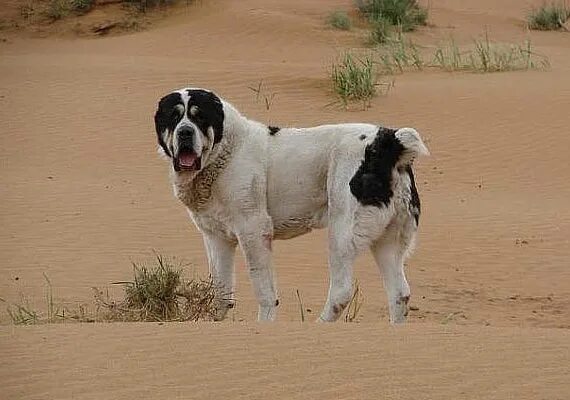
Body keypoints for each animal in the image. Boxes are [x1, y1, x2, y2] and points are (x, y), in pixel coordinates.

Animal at [152, 87, 426, 322]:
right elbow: (220, 292)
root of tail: (389, 142)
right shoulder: (216, 237)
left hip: (343, 232)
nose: (185, 132)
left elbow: (264, 293)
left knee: (341, 291)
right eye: (173, 118)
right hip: (388, 238)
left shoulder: (254, 231)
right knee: (399, 293)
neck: (224, 152)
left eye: (199, 117)